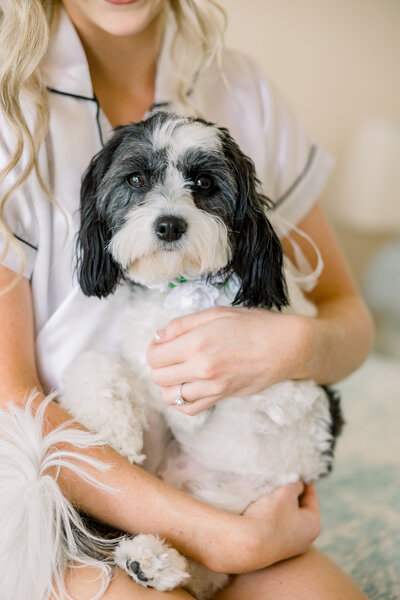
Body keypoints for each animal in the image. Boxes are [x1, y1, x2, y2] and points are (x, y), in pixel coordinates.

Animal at [60, 113, 344, 600]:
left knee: (209, 565)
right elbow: (97, 364)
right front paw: (114, 429)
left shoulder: (295, 394)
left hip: (242, 498)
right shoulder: (144, 364)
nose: (169, 224)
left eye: (205, 183)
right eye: (136, 179)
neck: (182, 289)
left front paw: (193, 407)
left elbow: (260, 392)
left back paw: (153, 563)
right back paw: (147, 561)